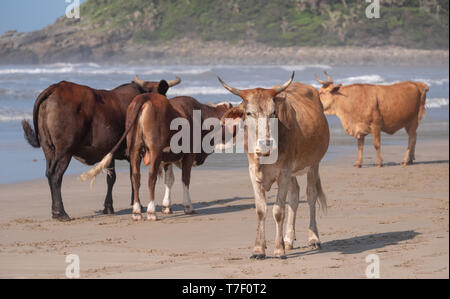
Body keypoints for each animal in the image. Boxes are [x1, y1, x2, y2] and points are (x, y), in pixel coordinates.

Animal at [22, 76, 181, 221]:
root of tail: (56, 87)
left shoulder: (110, 152)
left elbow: (111, 179)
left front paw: (109, 207)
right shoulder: (132, 152)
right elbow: (132, 176)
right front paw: (137, 205)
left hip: (49, 149)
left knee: (49, 174)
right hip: (64, 151)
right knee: (55, 175)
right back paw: (60, 212)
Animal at [79, 95, 232, 221]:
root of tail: (145, 97)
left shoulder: (168, 157)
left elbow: (169, 180)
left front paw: (166, 206)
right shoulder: (188, 155)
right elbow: (185, 179)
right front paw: (188, 206)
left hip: (134, 149)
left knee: (135, 177)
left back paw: (136, 211)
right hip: (155, 151)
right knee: (151, 177)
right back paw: (151, 211)